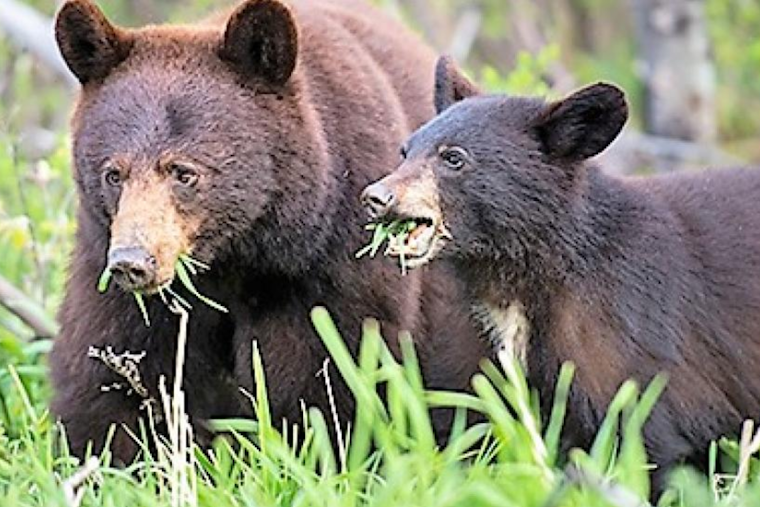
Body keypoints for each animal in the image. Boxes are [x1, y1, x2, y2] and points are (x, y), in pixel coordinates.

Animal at [51, 1, 488, 463]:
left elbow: (322, 376)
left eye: (184, 172)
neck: (233, 258)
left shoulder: (327, 260)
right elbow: (112, 372)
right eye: (113, 174)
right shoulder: (107, 262)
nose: (132, 262)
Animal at [361, 56, 760, 492]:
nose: (376, 197)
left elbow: (646, 443)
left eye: (453, 158)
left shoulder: (631, 342)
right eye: (404, 151)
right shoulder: (478, 342)